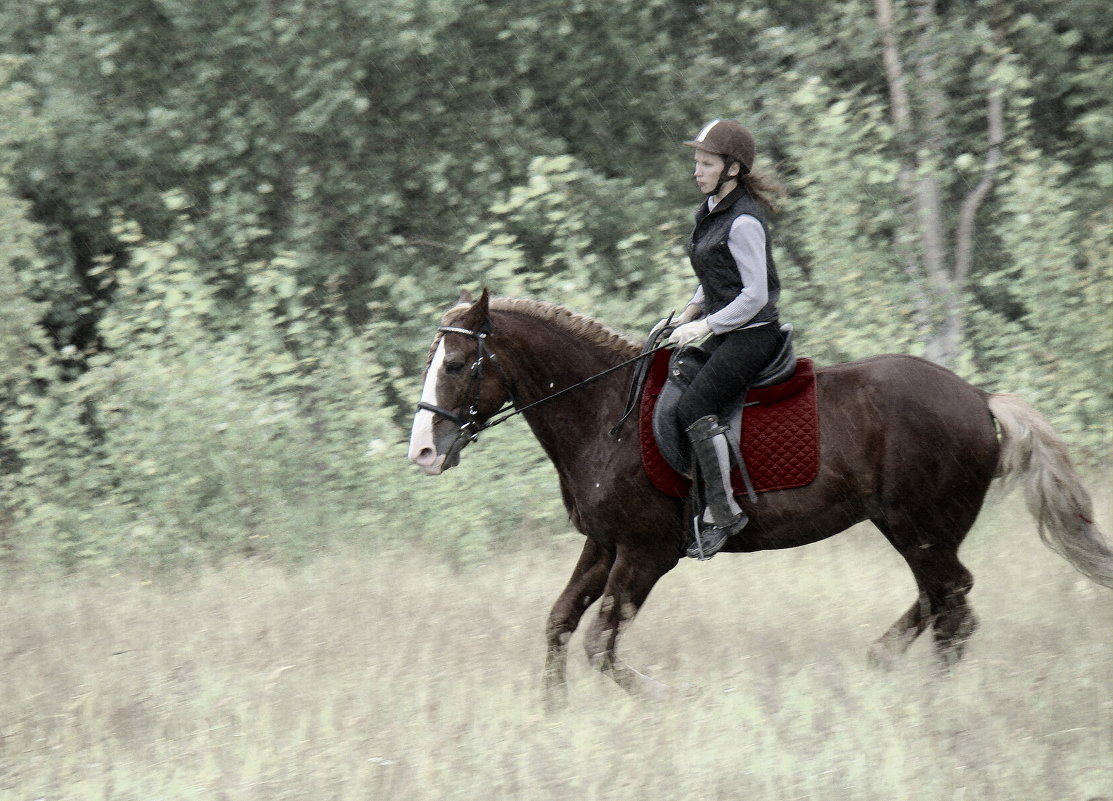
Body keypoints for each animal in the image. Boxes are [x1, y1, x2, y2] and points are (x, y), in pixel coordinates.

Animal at [409, 287, 1113, 707]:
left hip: (920, 527)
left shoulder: (646, 550)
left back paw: (925, 700)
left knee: (953, 609)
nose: (423, 453)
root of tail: (980, 398)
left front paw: (672, 699)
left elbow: (601, 642)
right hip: (913, 529)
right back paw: (882, 660)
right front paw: (552, 712)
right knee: (942, 598)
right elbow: (560, 623)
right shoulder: (605, 543)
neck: (606, 413)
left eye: (455, 365)